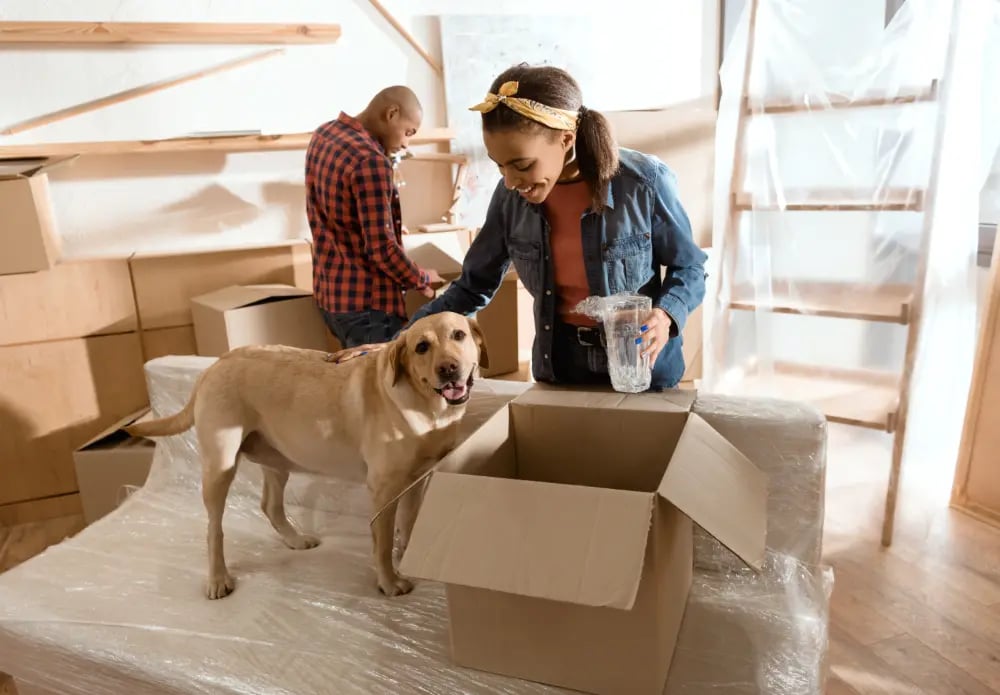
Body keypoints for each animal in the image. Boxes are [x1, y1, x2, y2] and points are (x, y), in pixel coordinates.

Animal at [127, 312, 486, 600]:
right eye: (421, 347)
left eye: (458, 335)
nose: (449, 369)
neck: (428, 407)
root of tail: (215, 364)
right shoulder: (383, 490)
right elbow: (382, 543)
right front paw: (389, 581)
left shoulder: (417, 480)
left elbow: (410, 524)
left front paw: (409, 557)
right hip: (220, 467)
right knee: (214, 529)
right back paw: (218, 579)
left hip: (276, 459)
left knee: (269, 505)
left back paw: (295, 540)